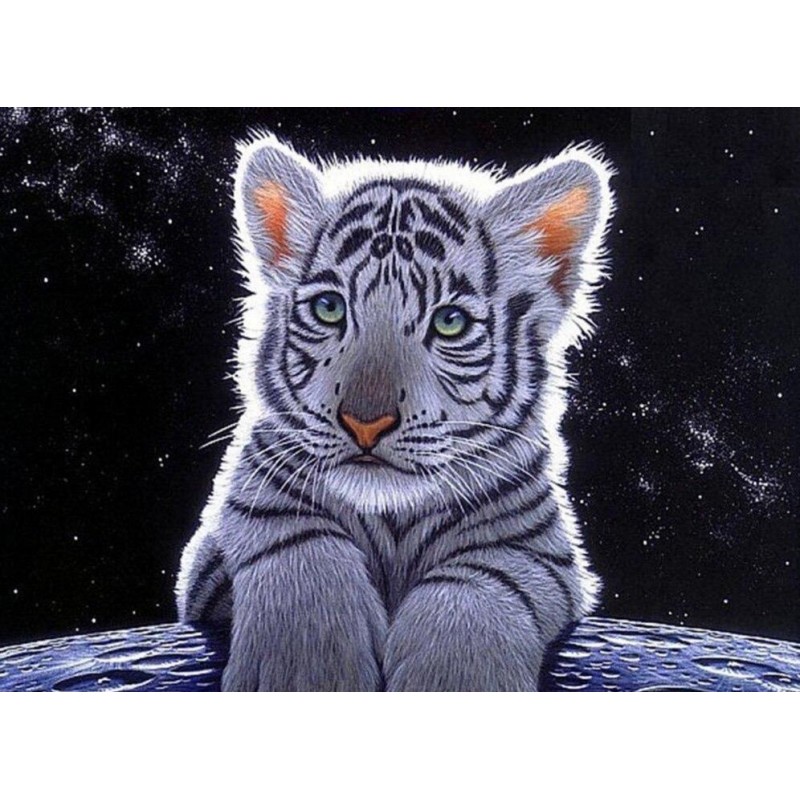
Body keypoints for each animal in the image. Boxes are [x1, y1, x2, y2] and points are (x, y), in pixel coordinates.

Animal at [175, 132, 614, 691]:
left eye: (449, 322)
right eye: (329, 309)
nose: (366, 423)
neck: (391, 522)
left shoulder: (540, 550)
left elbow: (483, 579)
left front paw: (452, 674)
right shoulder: (217, 549)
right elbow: (291, 533)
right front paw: (305, 667)